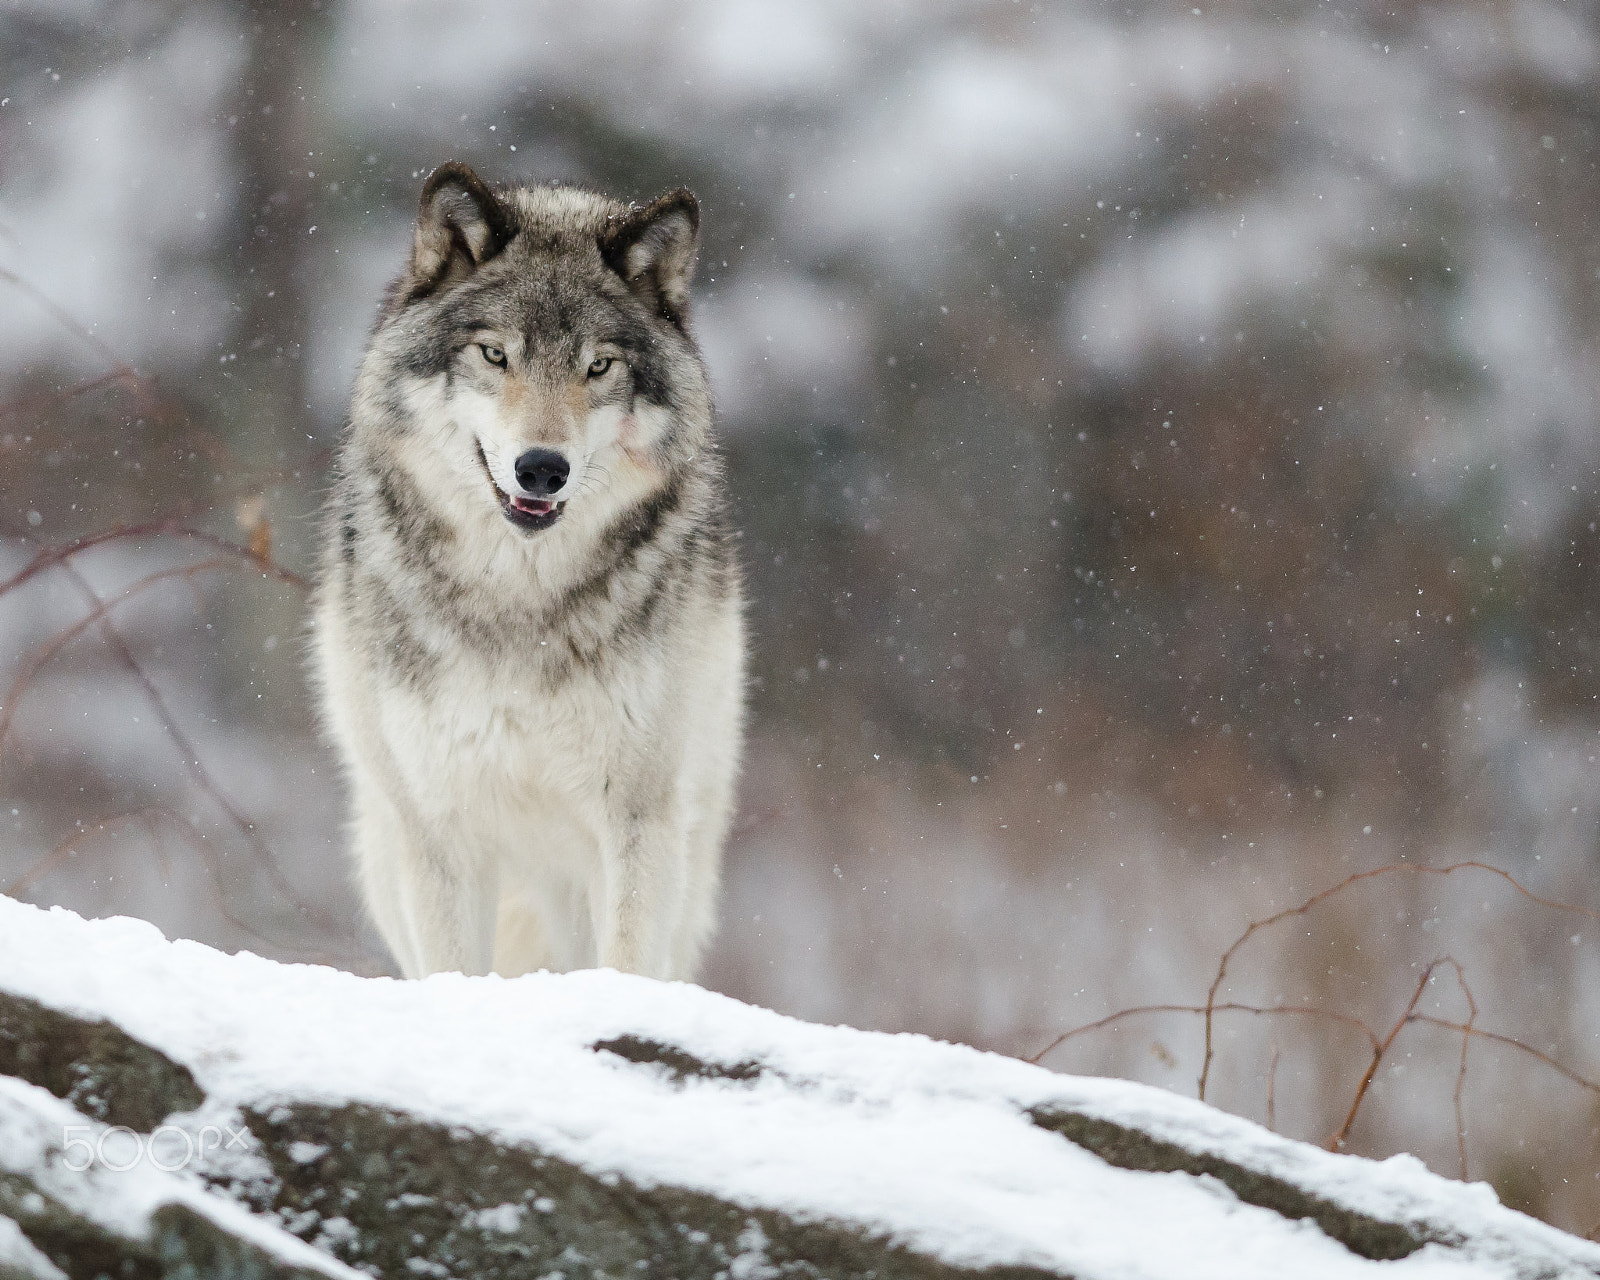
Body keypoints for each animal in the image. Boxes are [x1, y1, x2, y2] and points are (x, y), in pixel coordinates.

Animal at [311, 162, 745, 982]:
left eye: (598, 366)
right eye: (495, 355)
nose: (542, 469)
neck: (521, 603)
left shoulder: (637, 817)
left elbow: (626, 964)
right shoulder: (441, 830)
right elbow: (453, 972)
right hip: (385, 845)